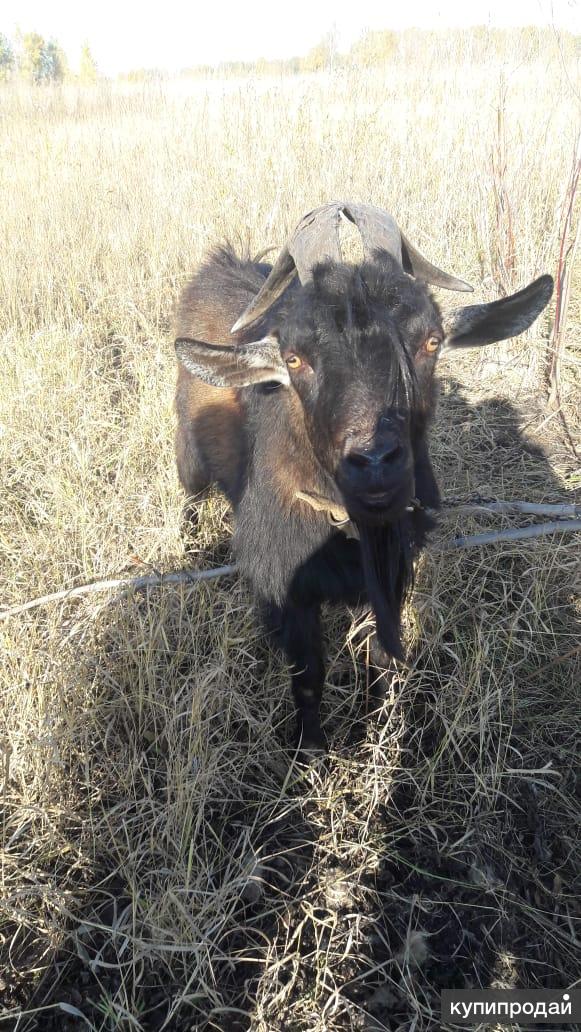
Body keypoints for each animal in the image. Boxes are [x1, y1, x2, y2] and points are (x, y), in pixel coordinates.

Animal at [174, 201, 553, 755]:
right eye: (295, 358)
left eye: (431, 341)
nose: (375, 462)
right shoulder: (288, 590)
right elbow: (308, 678)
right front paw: (311, 753)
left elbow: (381, 659)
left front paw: (377, 727)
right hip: (189, 454)